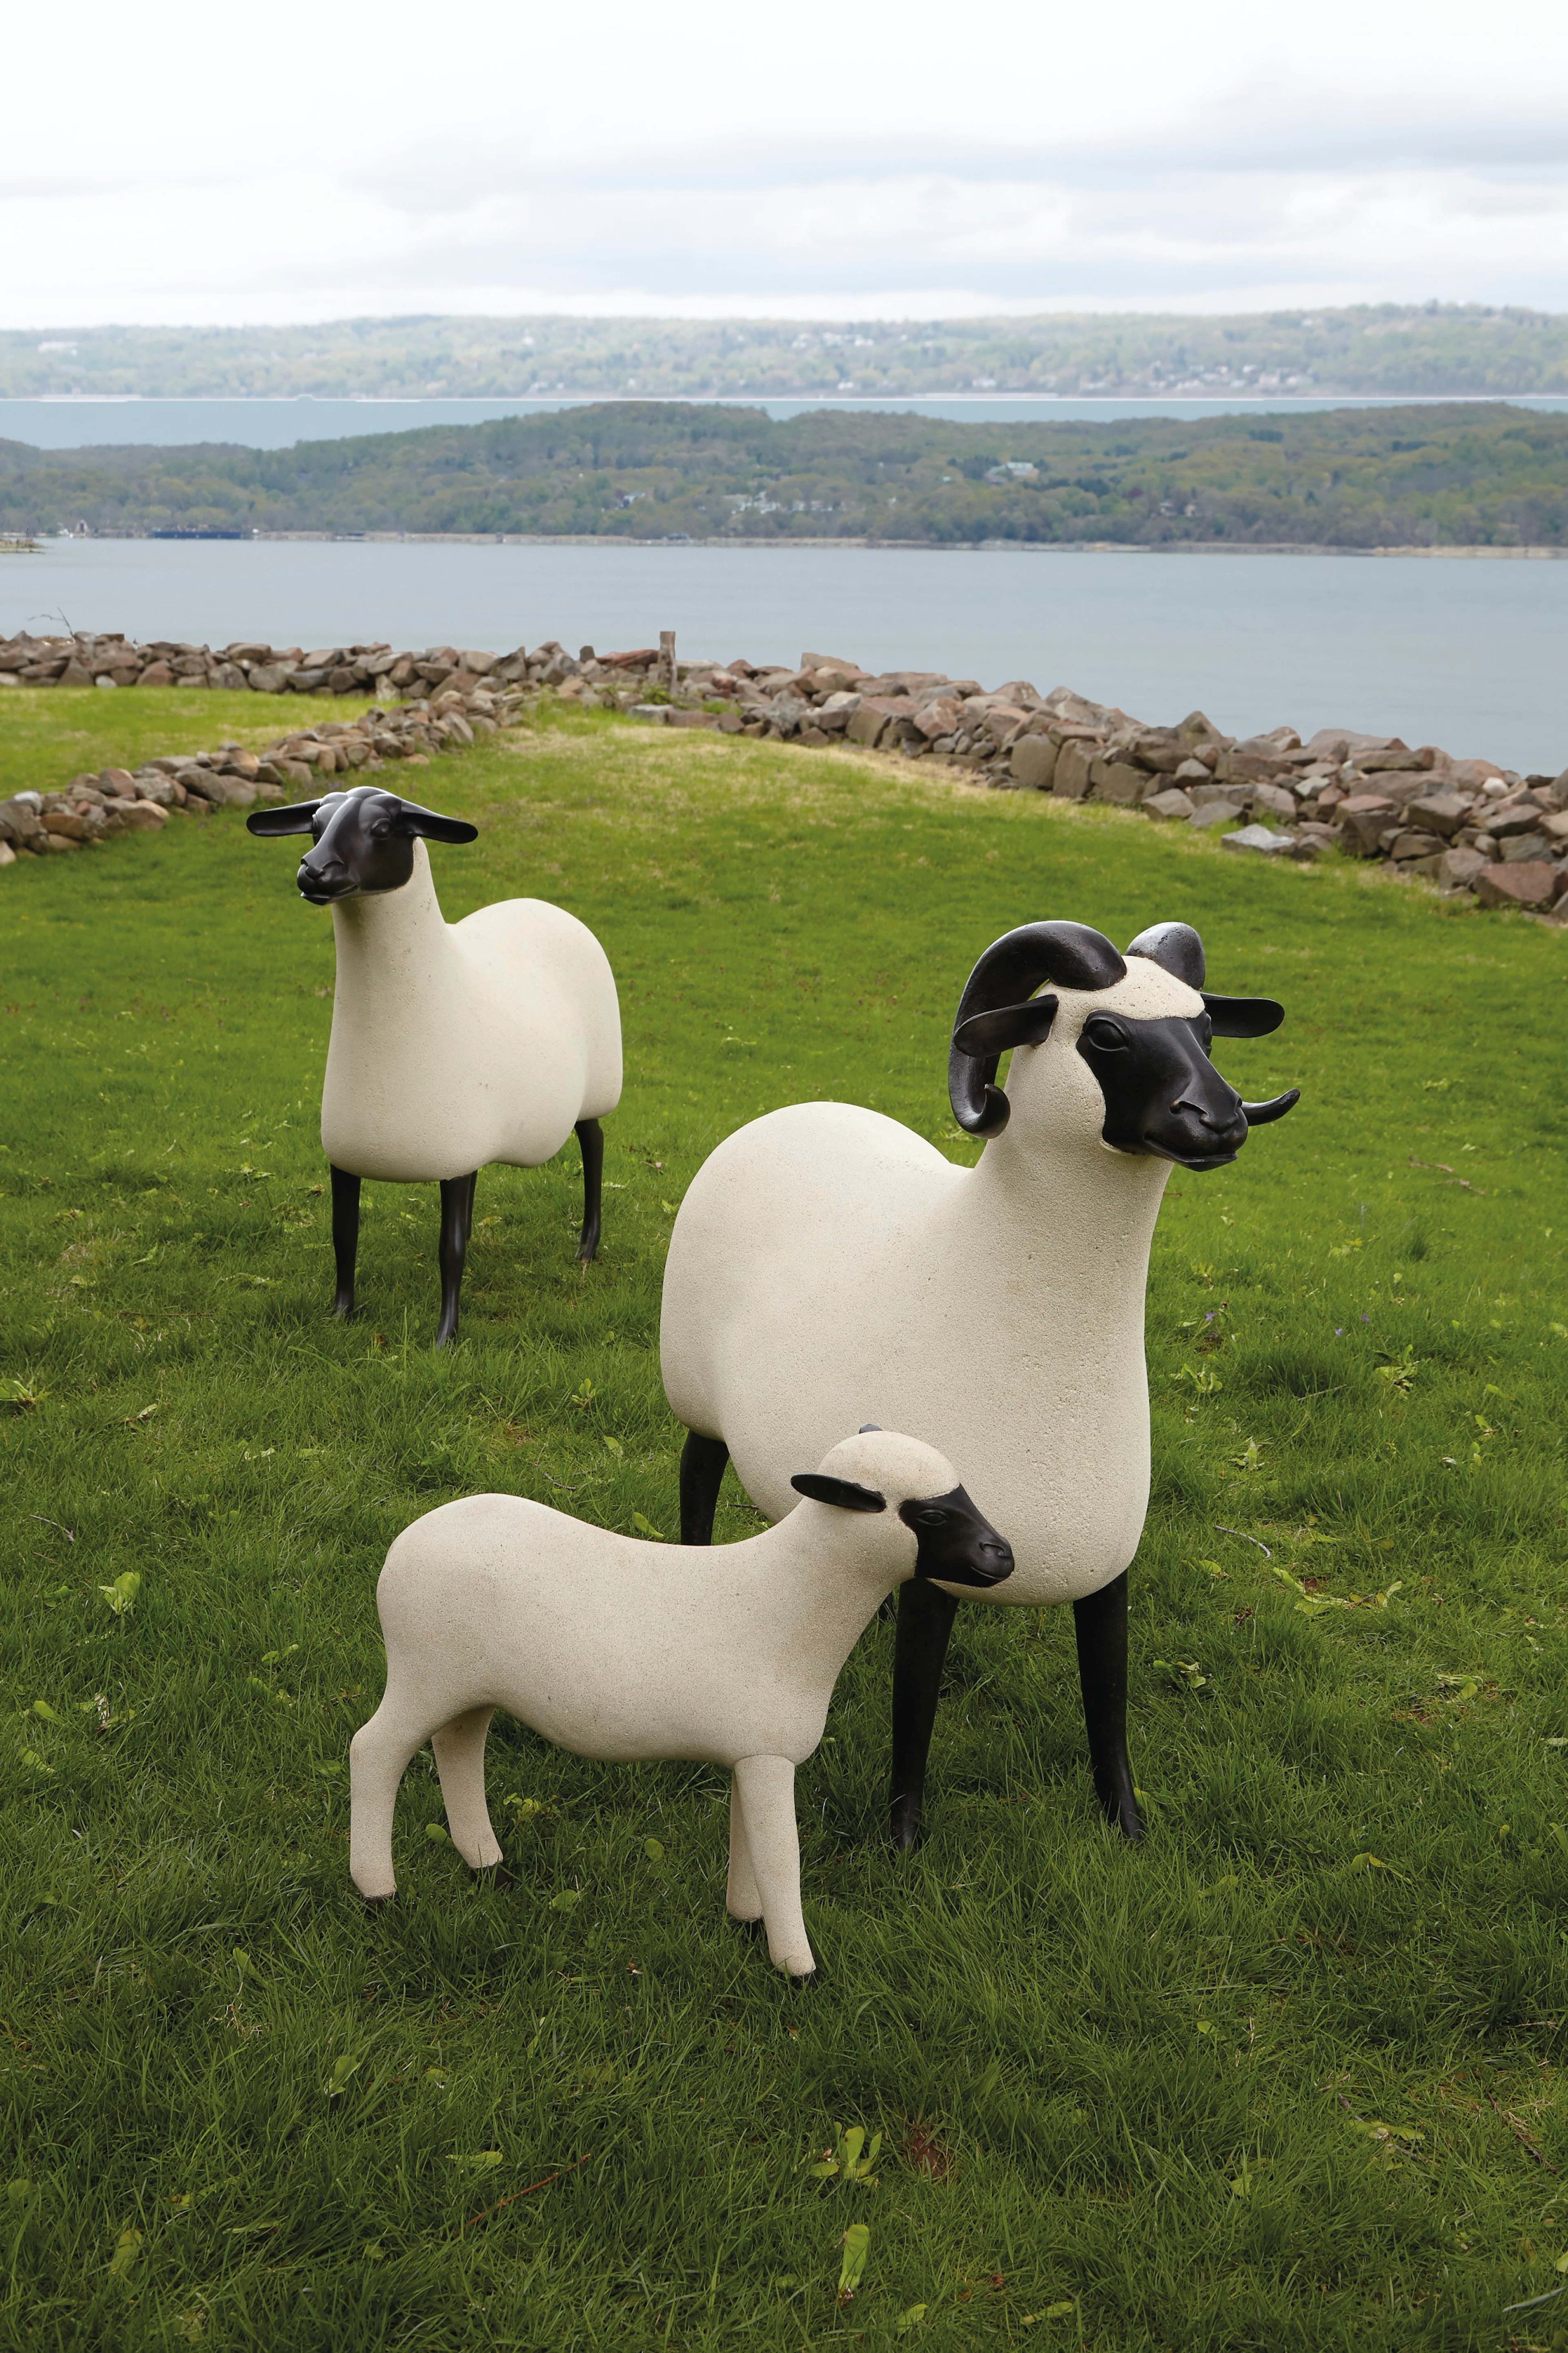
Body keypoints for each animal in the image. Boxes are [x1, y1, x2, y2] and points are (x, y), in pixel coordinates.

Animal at [247, 784, 621, 1345]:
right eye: (315, 824)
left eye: (384, 829)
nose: (313, 870)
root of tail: (546, 906)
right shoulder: (350, 1157)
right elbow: (343, 1234)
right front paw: (340, 1314)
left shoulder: (454, 1161)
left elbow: (451, 1249)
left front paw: (445, 1337)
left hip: (596, 1091)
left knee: (594, 1146)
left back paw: (587, 1248)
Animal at [348, 1428, 1012, 1977]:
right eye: (930, 1514)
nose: (1003, 1555)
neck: (789, 1600)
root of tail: (406, 1541)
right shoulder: (770, 1758)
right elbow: (783, 1858)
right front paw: (799, 1969)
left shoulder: (751, 1755)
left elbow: (750, 1846)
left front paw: (748, 1925)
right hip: (423, 1673)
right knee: (373, 1751)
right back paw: (378, 1893)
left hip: (470, 1681)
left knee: (458, 1746)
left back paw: (486, 1863)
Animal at [660, 918, 1300, 1850]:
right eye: (1104, 1034)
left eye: (1207, 1030)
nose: (1216, 1120)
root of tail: (799, 1109)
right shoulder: (948, 1560)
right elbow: (914, 1712)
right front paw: (904, 1843)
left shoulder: (1105, 1568)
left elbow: (1108, 1705)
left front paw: (1127, 1825)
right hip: (694, 1395)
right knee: (697, 1477)